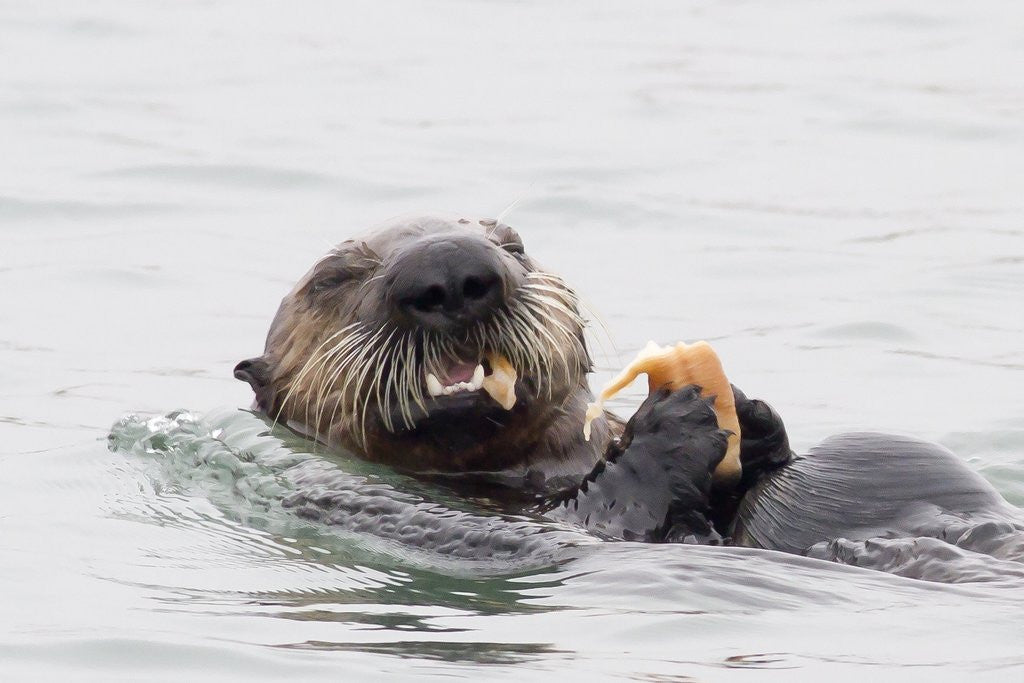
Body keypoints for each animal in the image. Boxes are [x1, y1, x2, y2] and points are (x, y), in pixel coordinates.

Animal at [235, 213, 1024, 571]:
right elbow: (617, 508)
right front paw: (672, 424)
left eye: (513, 243)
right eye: (333, 278)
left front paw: (754, 421)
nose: (451, 270)